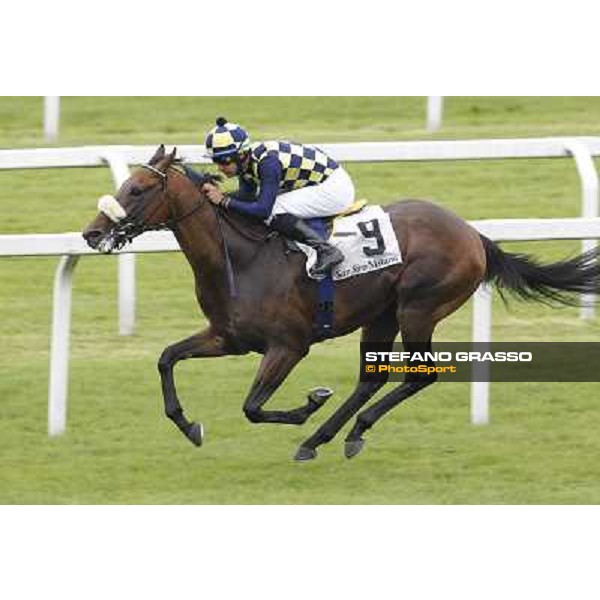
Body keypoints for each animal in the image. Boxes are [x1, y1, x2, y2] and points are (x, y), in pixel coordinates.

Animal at [81, 145, 600, 460]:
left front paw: (308, 403)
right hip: (382, 315)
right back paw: (330, 436)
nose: (91, 232)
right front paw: (189, 425)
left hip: (418, 307)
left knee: (420, 375)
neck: (241, 257)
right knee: (372, 379)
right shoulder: (227, 337)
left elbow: (253, 406)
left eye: (138, 189)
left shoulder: (289, 345)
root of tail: (473, 234)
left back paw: (337, 430)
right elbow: (166, 358)